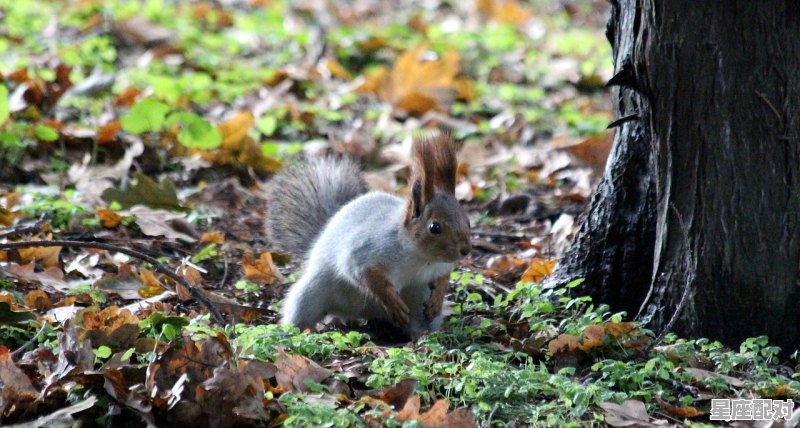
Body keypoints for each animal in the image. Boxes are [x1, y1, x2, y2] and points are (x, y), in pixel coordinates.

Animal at [266, 135, 472, 338]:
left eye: (467, 220)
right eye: (434, 227)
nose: (465, 250)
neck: (419, 257)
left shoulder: (439, 267)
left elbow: (444, 277)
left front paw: (437, 299)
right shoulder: (367, 251)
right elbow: (365, 276)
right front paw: (392, 302)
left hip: (417, 296)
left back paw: (423, 334)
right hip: (311, 293)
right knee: (301, 312)